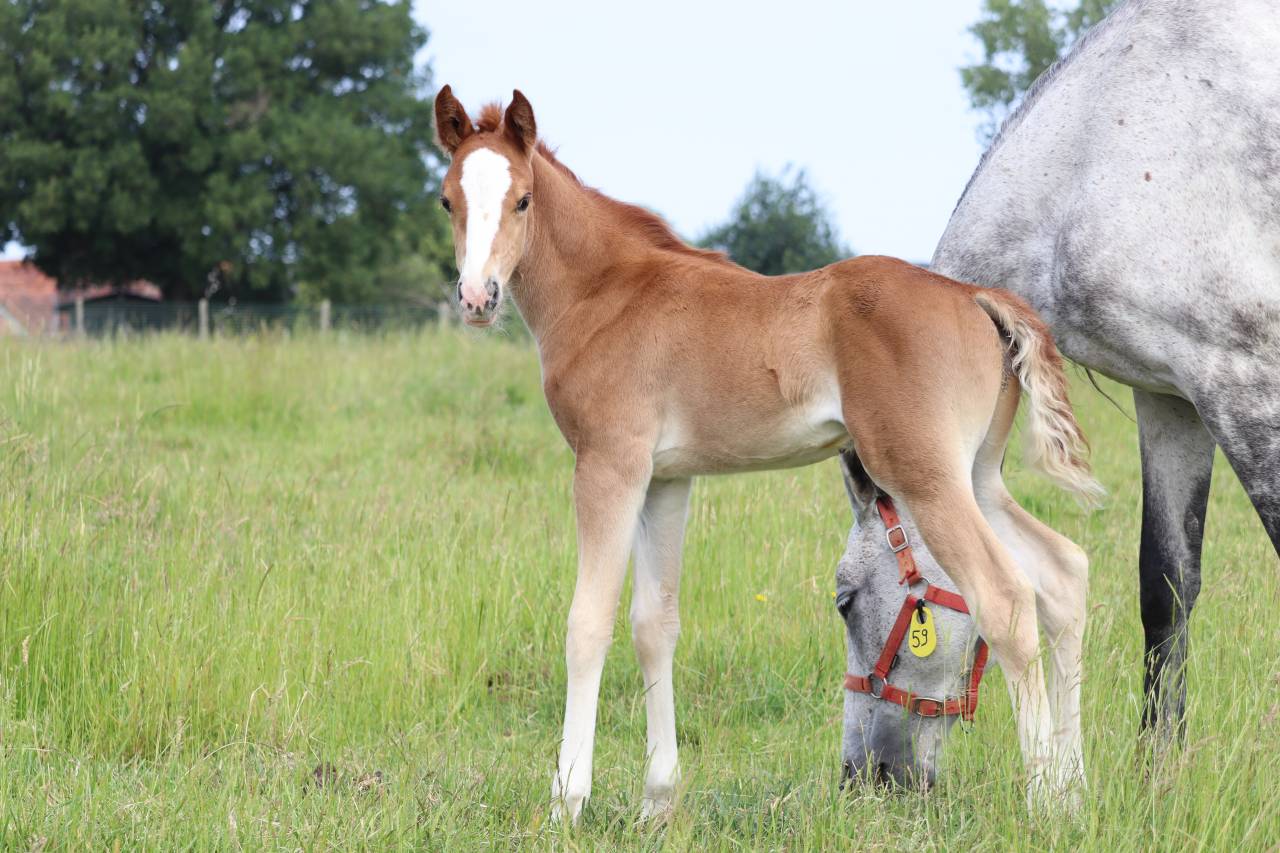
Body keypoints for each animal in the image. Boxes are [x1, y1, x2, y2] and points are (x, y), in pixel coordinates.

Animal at [431, 85, 1101, 819]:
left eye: (522, 199)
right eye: (447, 200)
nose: (476, 297)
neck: (607, 294)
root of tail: (975, 296)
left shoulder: (610, 465)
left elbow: (588, 624)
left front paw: (567, 802)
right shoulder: (667, 479)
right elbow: (654, 624)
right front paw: (657, 802)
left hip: (926, 475)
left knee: (1005, 597)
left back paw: (1043, 801)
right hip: (977, 475)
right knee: (1062, 573)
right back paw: (1073, 791)